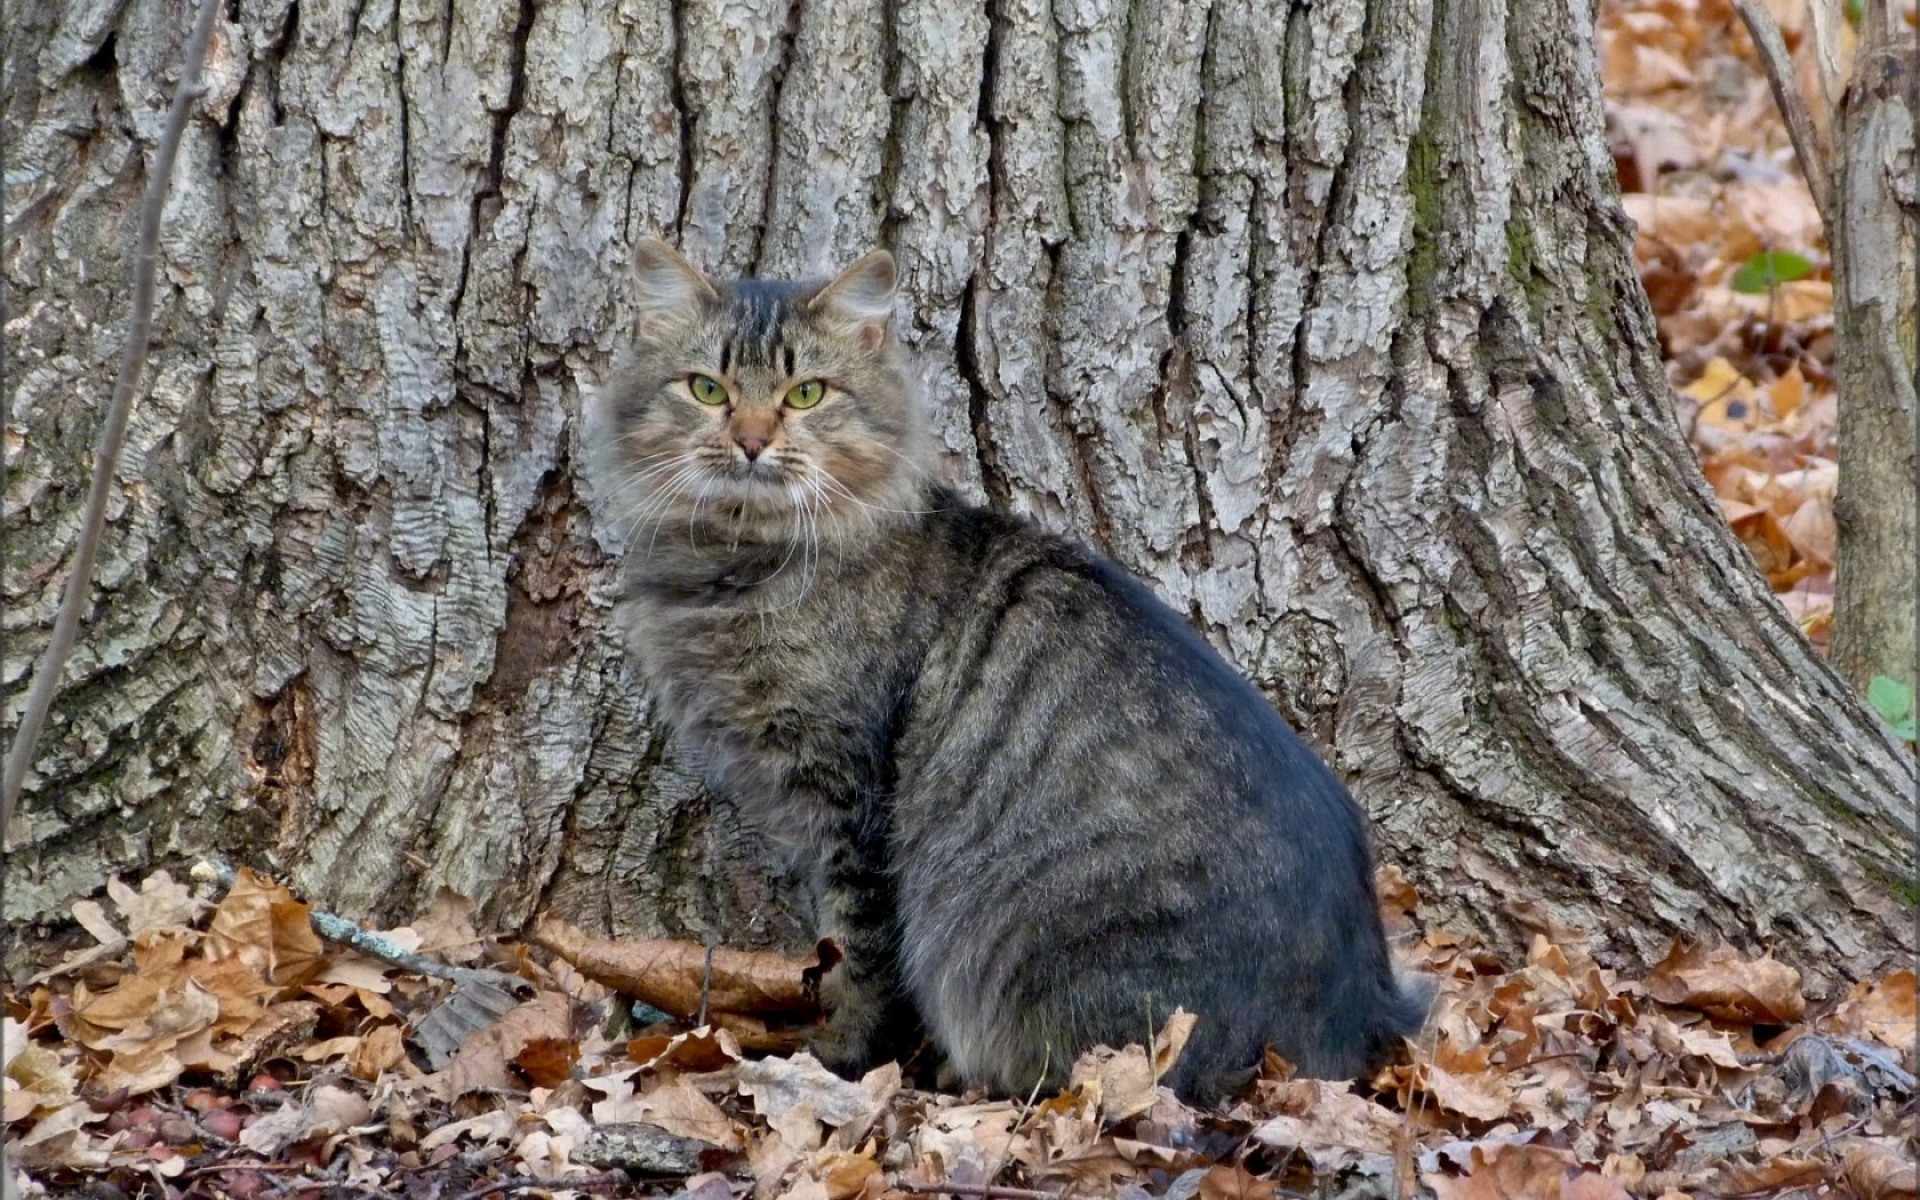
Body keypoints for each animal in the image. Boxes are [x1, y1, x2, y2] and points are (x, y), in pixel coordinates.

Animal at [583, 239, 1428, 1098]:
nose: (751, 441)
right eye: (707, 389)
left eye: (806, 394)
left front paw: (836, 1059)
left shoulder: (855, 805)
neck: (739, 562)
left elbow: (860, 958)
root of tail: (1362, 1010)